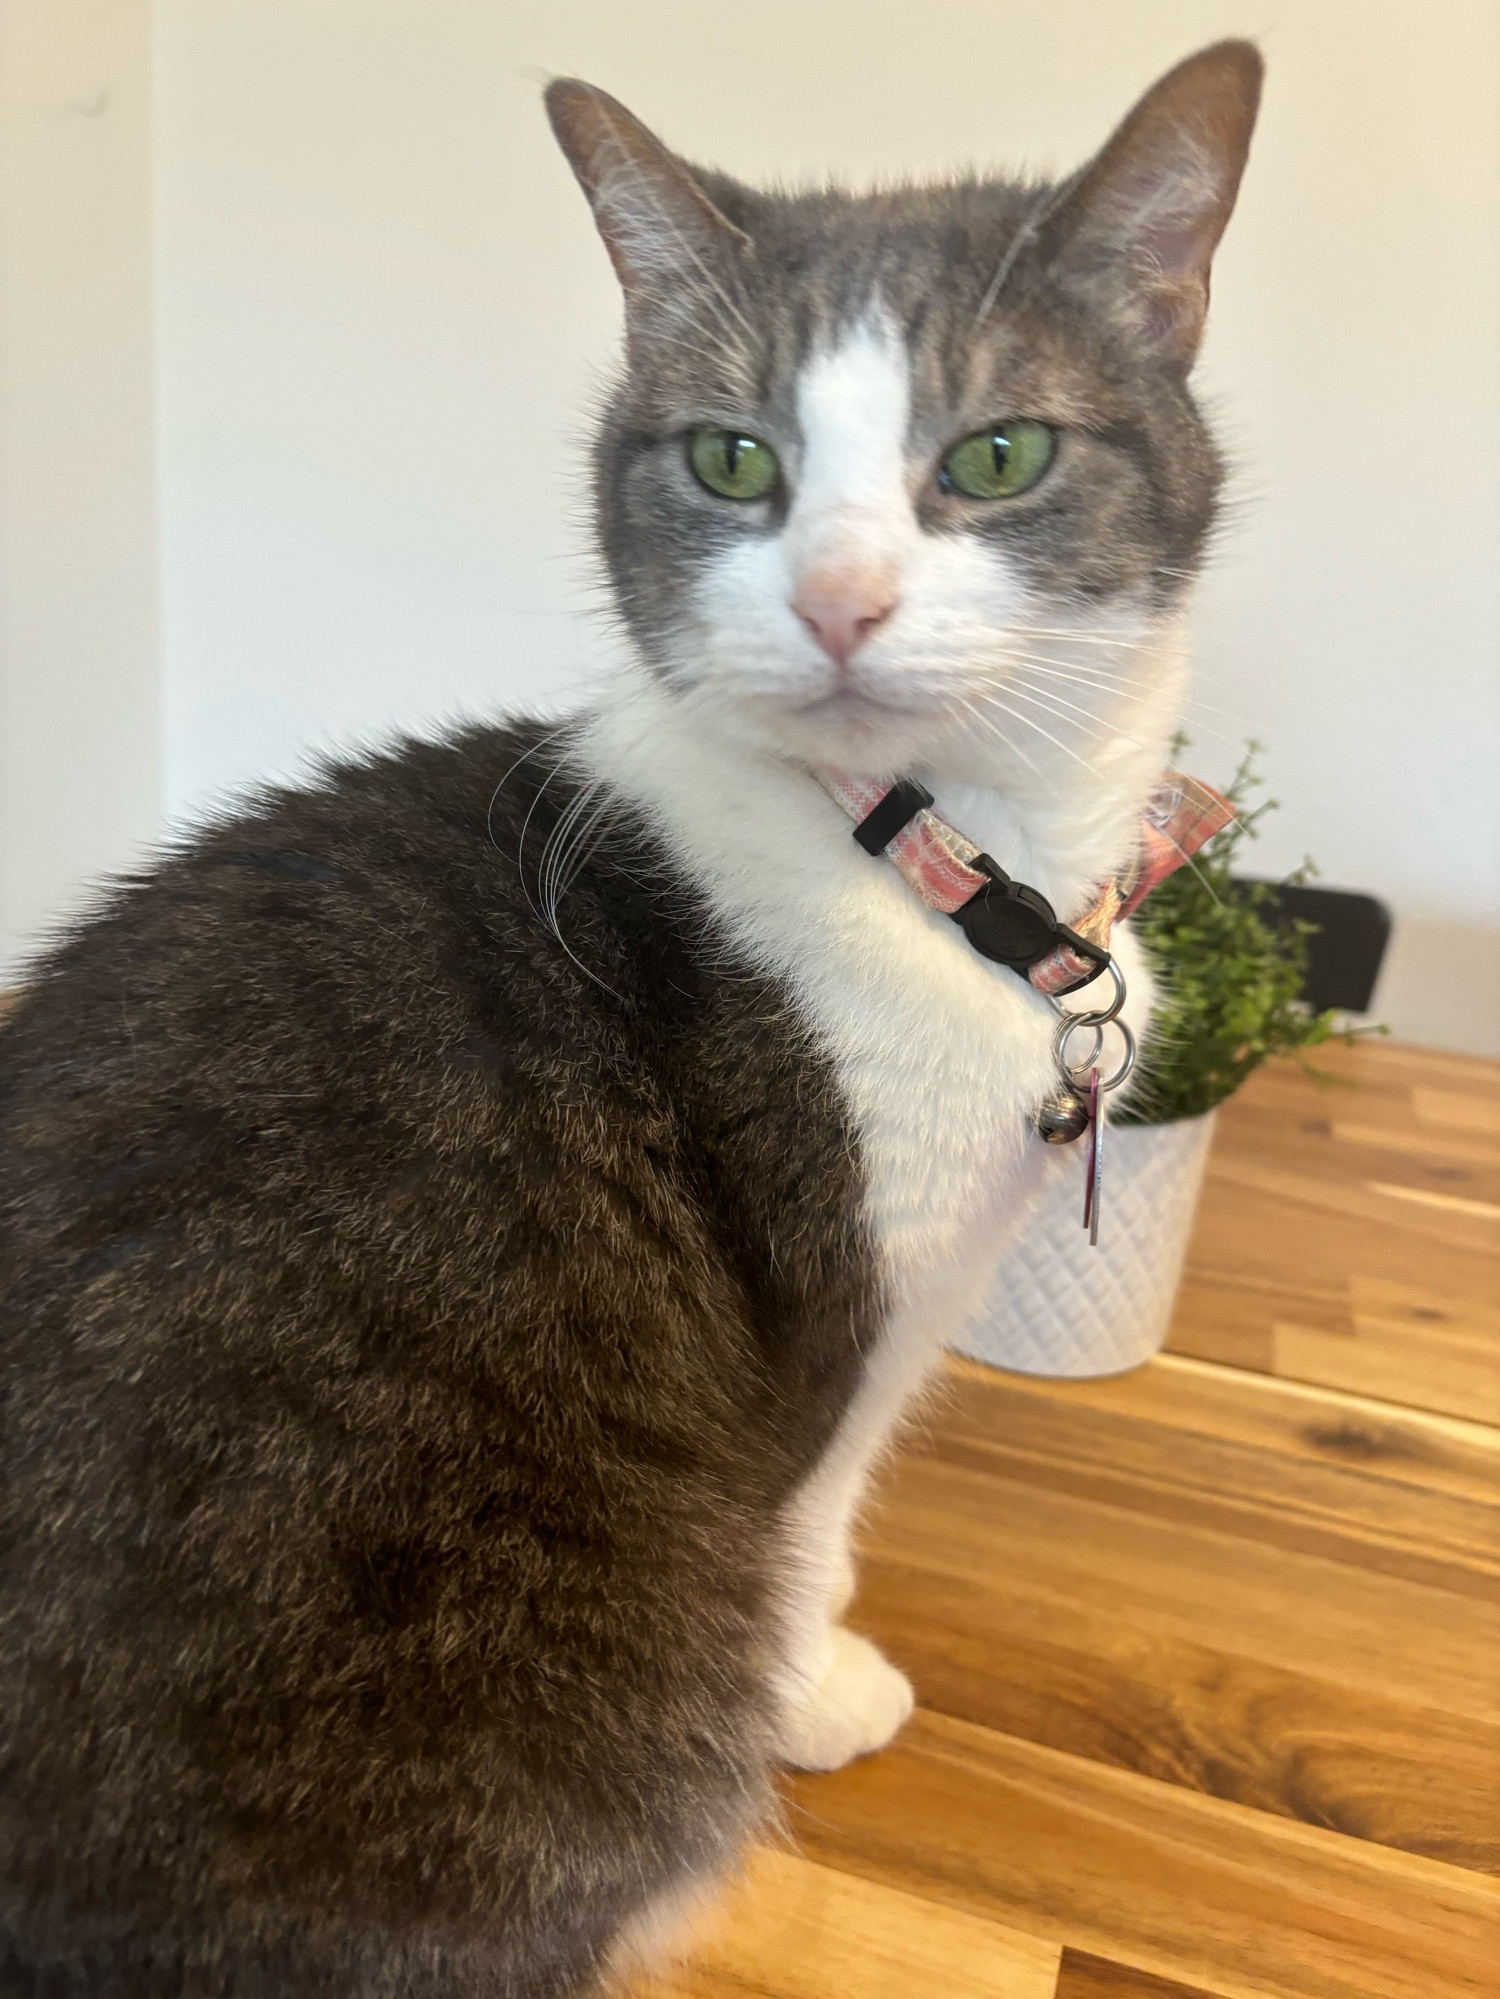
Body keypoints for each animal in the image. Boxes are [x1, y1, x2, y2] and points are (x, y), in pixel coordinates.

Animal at [0, 42, 1264, 1999]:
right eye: (736, 459)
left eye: (996, 453)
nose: (837, 597)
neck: (937, 859)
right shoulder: (850, 1310)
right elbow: (809, 1518)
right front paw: (817, 1684)